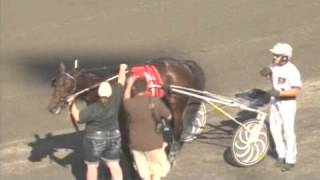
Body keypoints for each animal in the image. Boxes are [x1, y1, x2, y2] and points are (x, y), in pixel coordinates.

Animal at [48, 57, 206, 145]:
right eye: (54, 84)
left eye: (66, 85)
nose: (52, 108)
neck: (106, 83)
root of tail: (183, 64)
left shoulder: (122, 114)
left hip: (176, 101)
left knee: (177, 127)